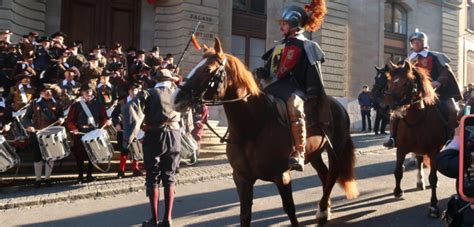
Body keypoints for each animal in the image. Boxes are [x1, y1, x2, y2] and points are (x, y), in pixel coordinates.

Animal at [172, 38, 358, 226]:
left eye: (207, 70)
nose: (175, 99)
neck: (252, 129)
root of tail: (338, 106)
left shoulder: (282, 176)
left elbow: (290, 209)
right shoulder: (242, 178)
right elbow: (245, 214)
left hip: (335, 149)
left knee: (332, 175)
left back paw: (323, 211)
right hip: (314, 154)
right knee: (324, 174)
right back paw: (324, 208)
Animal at [384, 60, 446, 218]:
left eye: (406, 83)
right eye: (390, 83)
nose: (388, 105)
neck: (416, 119)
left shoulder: (434, 152)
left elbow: (434, 178)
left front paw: (433, 205)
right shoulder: (401, 149)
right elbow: (398, 171)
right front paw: (398, 191)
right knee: (419, 161)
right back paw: (420, 181)